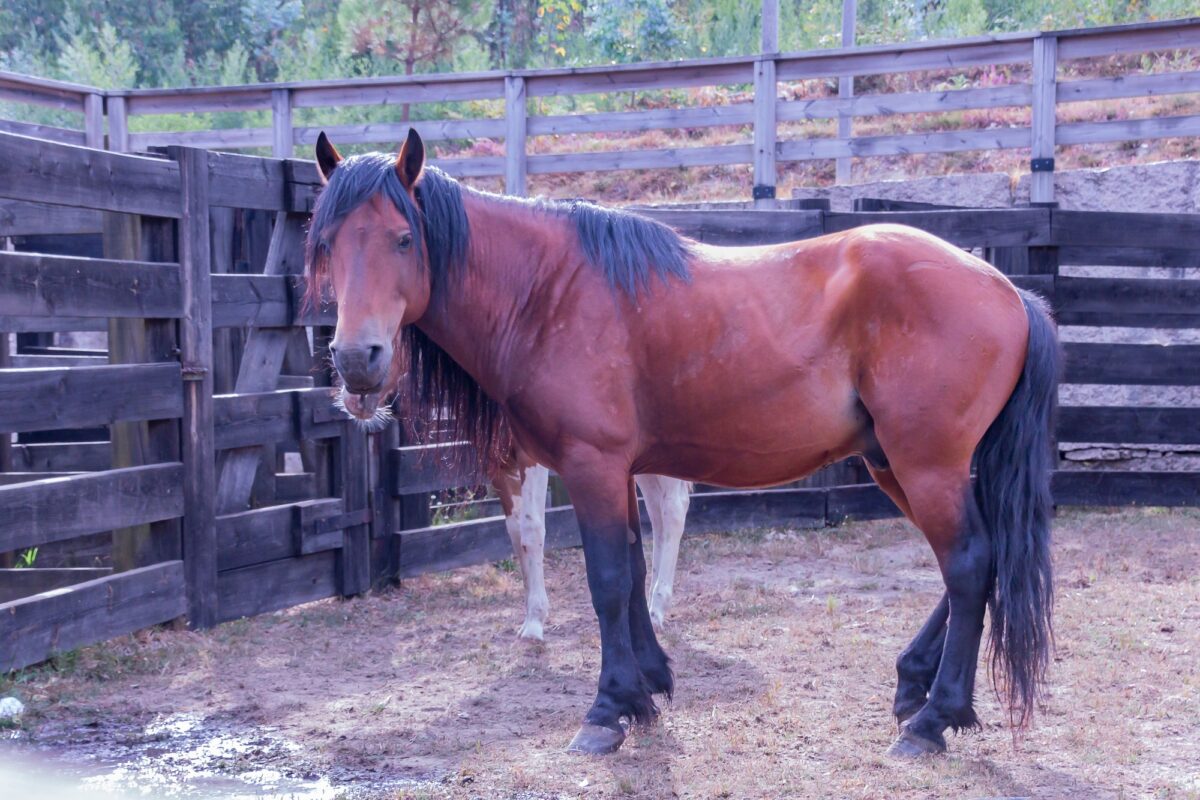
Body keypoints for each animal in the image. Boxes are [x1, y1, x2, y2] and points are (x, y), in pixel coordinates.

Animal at [306, 129, 1059, 758]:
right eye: (328, 243)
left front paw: (607, 710)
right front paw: (647, 689)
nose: (358, 360)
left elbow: (608, 580)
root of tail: (1010, 292)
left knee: (967, 565)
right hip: (893, 464)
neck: (548, 293)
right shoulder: (618, 470)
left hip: (925, 466)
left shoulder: (591, 464)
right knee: (982, 559)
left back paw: (935, 718)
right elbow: (635, 571)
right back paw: (914, 684)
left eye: (404, 239)